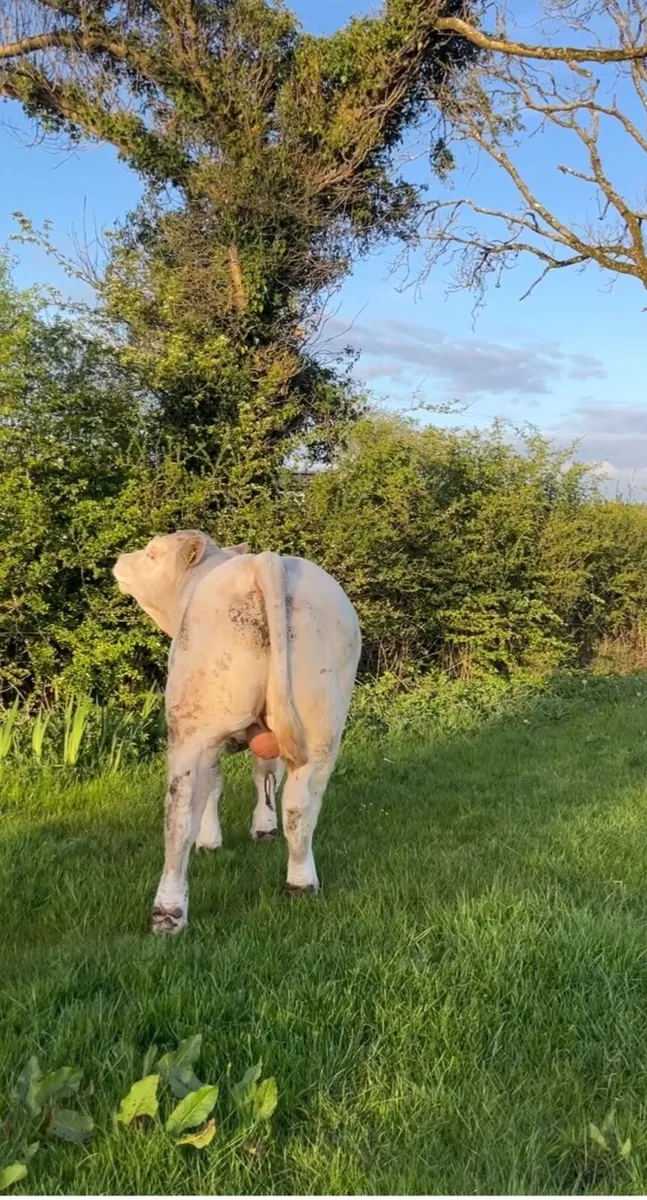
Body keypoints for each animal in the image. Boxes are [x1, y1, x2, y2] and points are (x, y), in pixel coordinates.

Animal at [112, 530, 361, 934]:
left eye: (151, 553)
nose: (119, 560)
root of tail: (266, 561)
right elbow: (266, 775)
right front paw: (264, 828)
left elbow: (214, 786)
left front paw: (211, 841)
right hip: (322, 724)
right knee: (301, 805)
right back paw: (301, 883)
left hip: (192, 725)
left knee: (179, 813)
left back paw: (167, 912)